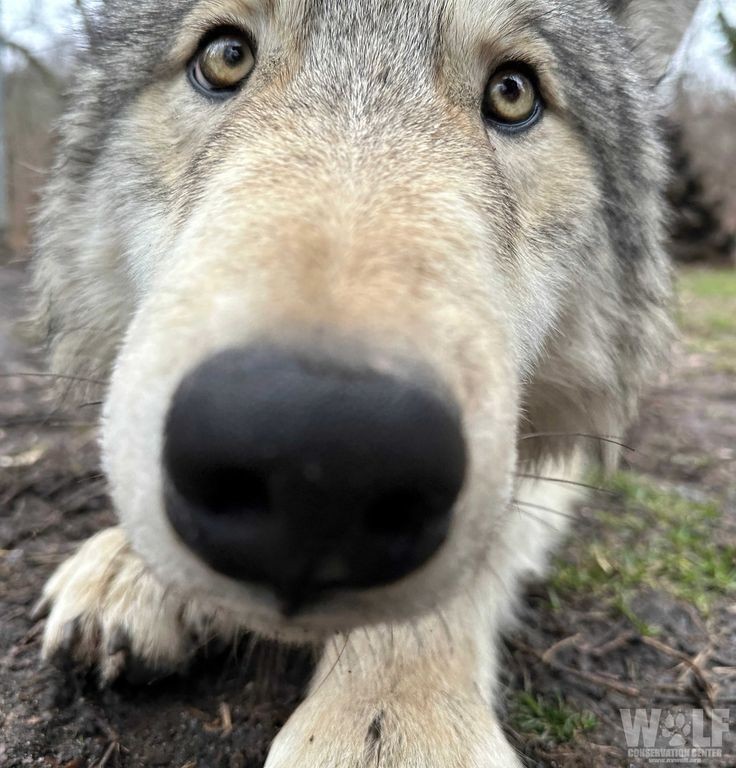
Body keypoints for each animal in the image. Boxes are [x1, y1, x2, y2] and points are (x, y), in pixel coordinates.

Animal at [30, 1, 696, 760]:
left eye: (513, 93)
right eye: (225, 56)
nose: (316, 462)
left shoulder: (547, 449)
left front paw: (390, 711)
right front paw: (130, 566)